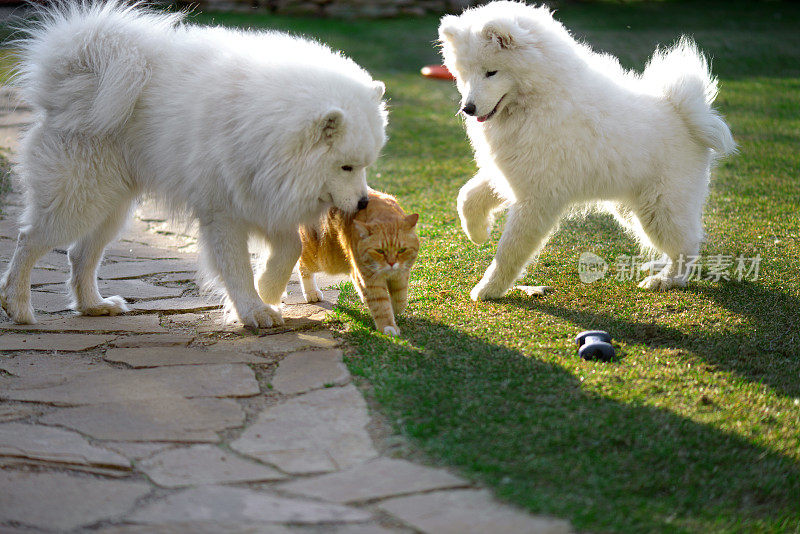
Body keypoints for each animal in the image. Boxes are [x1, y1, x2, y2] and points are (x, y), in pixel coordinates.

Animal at [0, 2, 388, 328]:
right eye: (346, 167)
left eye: (366, 165)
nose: (364, 203)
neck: (266, 126)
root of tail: (67, 80)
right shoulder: (224, 213)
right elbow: (236, 268)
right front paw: (252, 310)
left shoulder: (262, 200)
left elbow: (289, 250)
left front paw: (267, 292)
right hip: (79, 200)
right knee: (29, 240)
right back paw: (17, 306)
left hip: (111, 207)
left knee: (79, 254)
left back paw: (93, 306)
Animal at [300, 191, 422, 338]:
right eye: (379, 251)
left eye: (402, 250)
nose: (392, 263)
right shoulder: (371, 278)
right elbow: (381, 304)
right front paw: (388, 326)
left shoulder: (401, 274)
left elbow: (400, 296)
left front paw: (396, 309)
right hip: (321, 259)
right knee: (302, 267)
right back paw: (311, 292)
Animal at [440, 0, 736, 302]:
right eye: (464, 75)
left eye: (491, 72)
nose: (468, 108)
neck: (539, 98)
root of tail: (685, 114)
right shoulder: (510, 173)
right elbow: (467, 196)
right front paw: (477, 233)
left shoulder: (537, 197)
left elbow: (509, 251)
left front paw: (488, 288)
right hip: (633, 208)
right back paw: (658, 266)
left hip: (662, 207)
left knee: (687, 246)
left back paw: (666, 279)